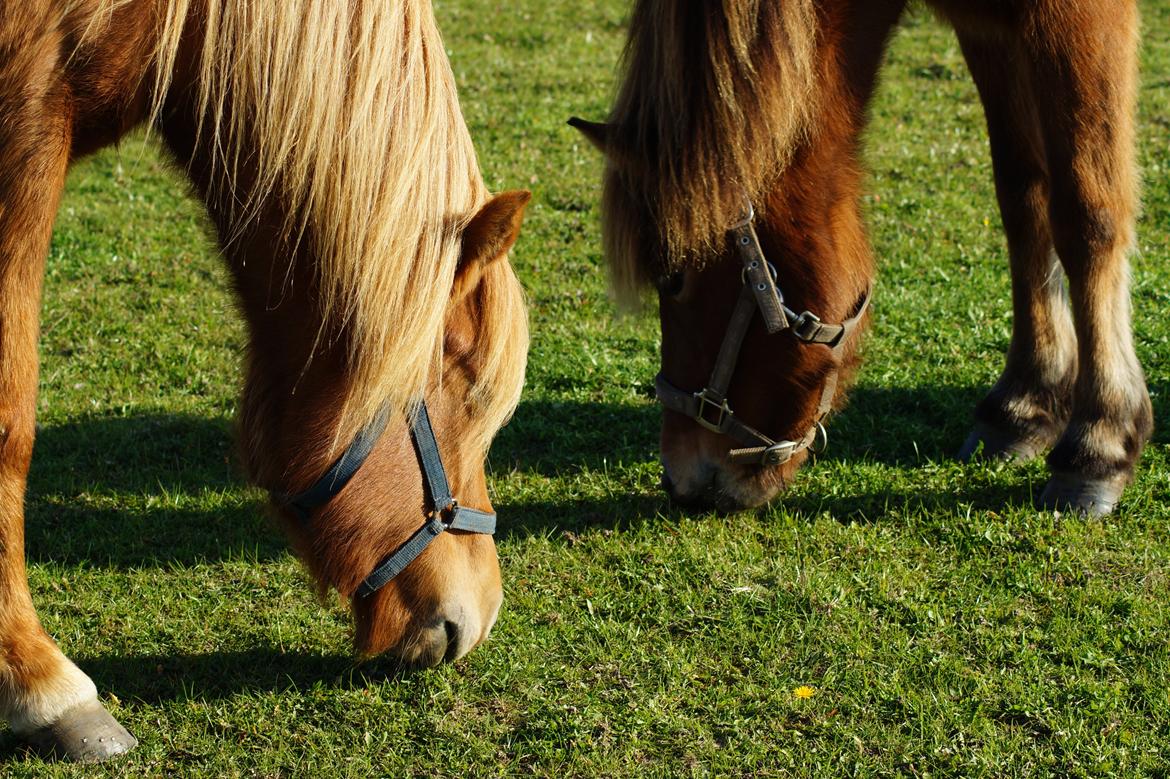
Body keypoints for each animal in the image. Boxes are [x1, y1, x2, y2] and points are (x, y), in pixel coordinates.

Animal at [573, 3, 1151, 514]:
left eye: (673, 279)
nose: (679, 480)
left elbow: (1085, 214)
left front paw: (1098, 444)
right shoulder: (986, 27)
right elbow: (1023, 197)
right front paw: (1024, 406)